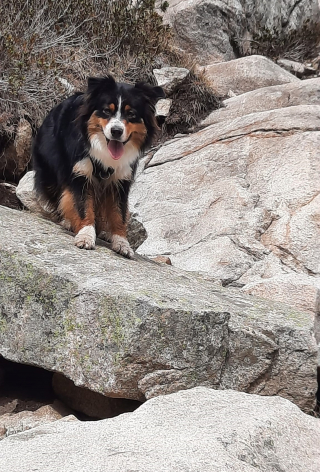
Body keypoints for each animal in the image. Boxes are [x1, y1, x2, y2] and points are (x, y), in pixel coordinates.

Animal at [33, 74, 165, 258]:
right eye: (107, 111)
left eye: (131, 114)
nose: (116, 131)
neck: (105, 154)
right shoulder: (80, 173)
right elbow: (83, 206)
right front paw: (86, 236)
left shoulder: (121, 180)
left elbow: (119, 214)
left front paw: (122, 243)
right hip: (50, 172)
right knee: (58, 193)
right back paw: (68, 221)